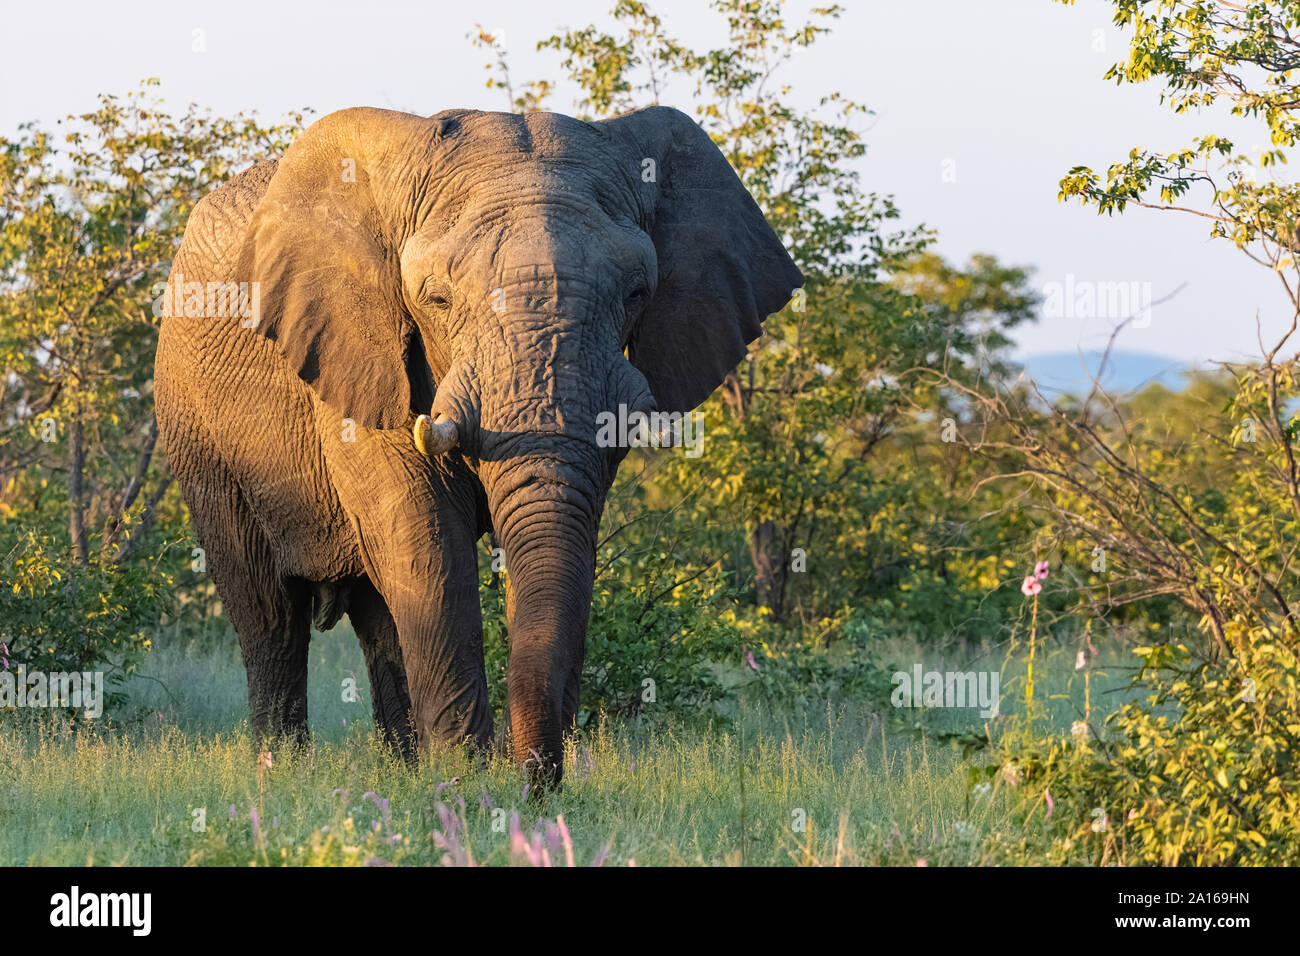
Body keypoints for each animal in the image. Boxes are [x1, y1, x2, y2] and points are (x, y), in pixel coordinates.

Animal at [154, 104, 802, 783]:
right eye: (435, 299)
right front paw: (466, 779)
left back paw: (401, 771)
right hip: (194, 426)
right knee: (270, 613)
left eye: (636, 294)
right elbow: (428, 547)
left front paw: (475, 780)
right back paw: (284, 772)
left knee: (377, 617)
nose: (537, 783)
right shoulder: (356, 354)